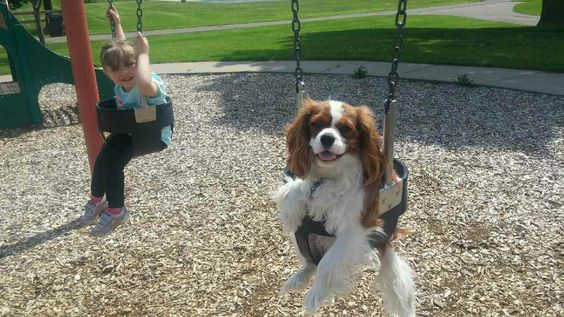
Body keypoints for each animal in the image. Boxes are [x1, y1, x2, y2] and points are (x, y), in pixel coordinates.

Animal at [274, 98, 414, 314]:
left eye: (346, 128)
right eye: (315, 124)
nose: (327, 138)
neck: (331, 174)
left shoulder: (354, 230)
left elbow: (327, 263)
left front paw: (316, 293)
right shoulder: (310, 186)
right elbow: (296, 188)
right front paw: (291, 214)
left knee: (319, 262)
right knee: (309, 261)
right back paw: (298, 278)